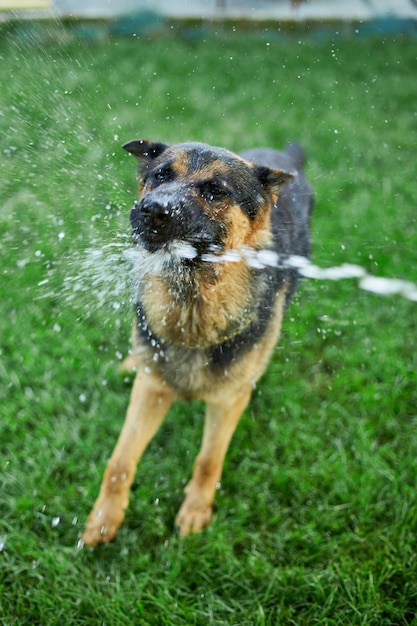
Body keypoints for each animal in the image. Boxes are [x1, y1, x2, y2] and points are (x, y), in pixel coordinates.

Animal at [82, 139, 312, 544]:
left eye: (215, 191)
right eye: (160, 175)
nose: (152, 210)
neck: (192, 301)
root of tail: (284, 155)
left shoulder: (227, 401)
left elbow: (208, 460)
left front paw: (195, 510)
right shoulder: (151, 389)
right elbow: (120, 460)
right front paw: (105, 517)